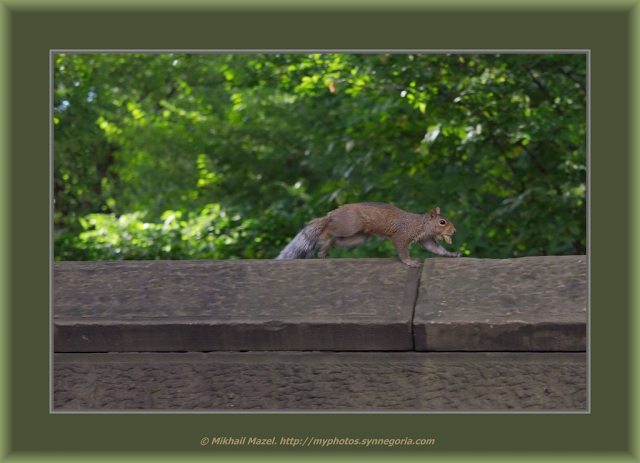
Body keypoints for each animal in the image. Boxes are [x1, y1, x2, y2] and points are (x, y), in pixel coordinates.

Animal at [276, 203, 460, 268]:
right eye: (442, 222)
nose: (454, 231)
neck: (422, 225)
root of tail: (333, 213)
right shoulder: (402, 235)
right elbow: (402, 249)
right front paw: (410, 262)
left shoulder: (426, 239)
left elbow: (436, 249)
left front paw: (451, 254)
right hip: (349, 225)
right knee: (330, 228)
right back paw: (323, 236)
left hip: (357, 237)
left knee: (336, 240)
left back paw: (325, 249)